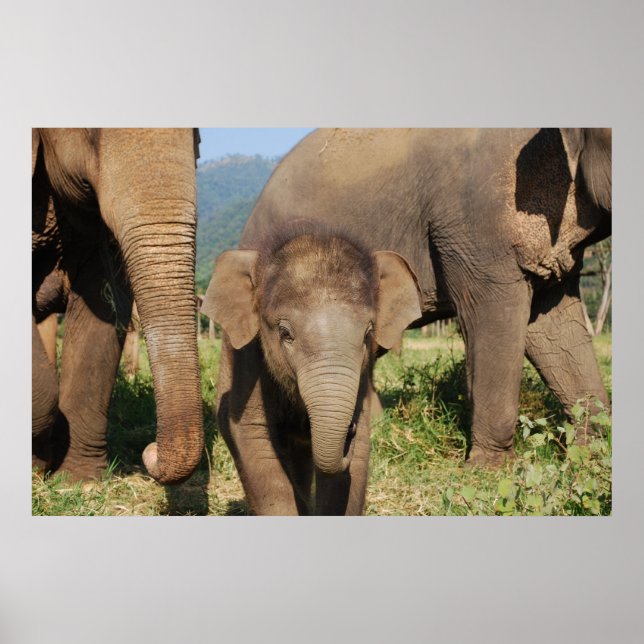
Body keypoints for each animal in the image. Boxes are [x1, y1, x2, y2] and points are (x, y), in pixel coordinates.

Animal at [32, 128, 204, 484]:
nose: (149, 451)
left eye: (196, 136)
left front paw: (79, 482)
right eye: (89, 134)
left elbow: (103, 302)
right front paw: (37, 467)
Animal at [201, 221, 421, 514]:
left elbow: (357, 457)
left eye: (368, 333)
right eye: (285, 333)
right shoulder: (247, 360)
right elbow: (253, 436)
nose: (349, 432)